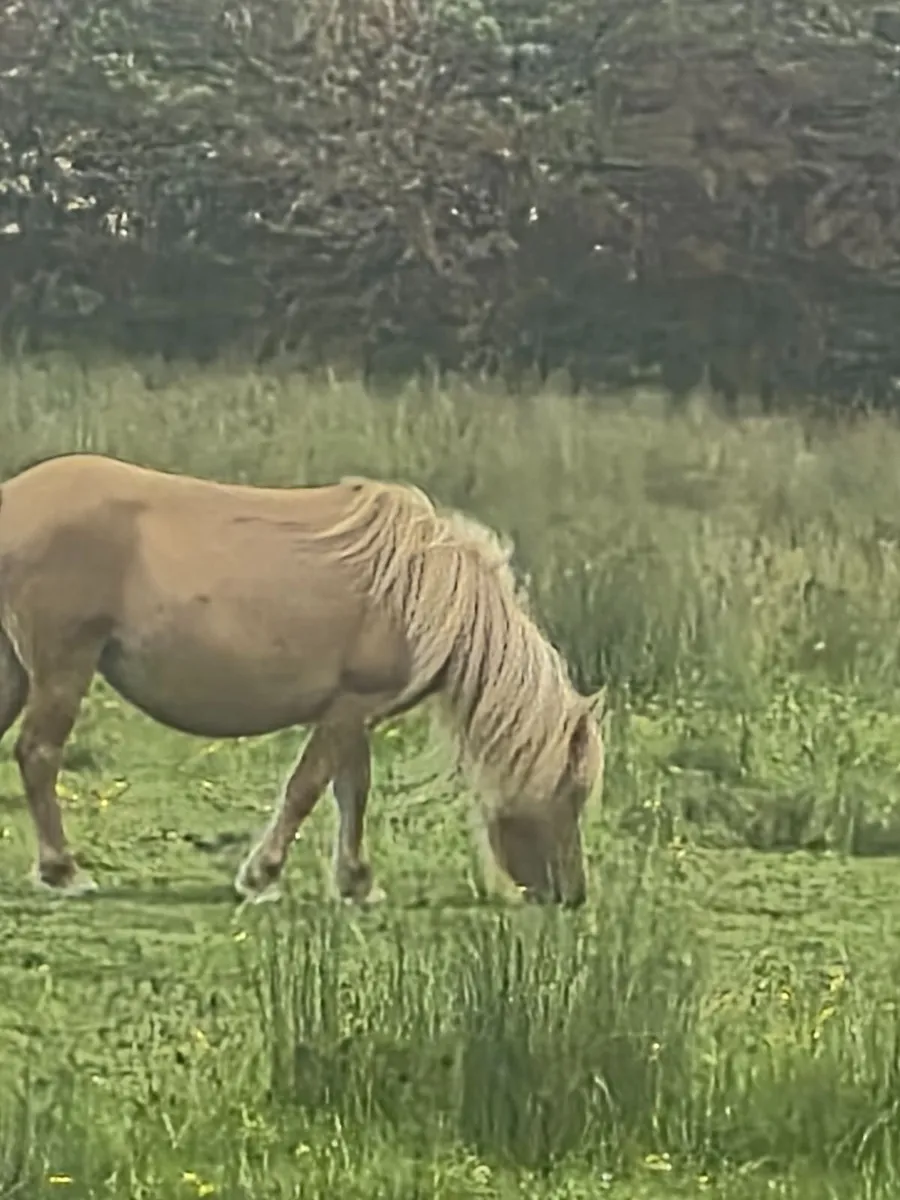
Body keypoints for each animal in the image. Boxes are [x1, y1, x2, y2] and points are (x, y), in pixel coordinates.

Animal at [0, 453, 604, 907]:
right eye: (571, 791)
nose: (572, 895)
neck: (423, 592)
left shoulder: (356, 714)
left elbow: (352, 790)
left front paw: (356, 883)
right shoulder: (346, 709)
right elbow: (307, 788)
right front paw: (262, 875)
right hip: (63, 668)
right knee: (39, 754)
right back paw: (63, 871)